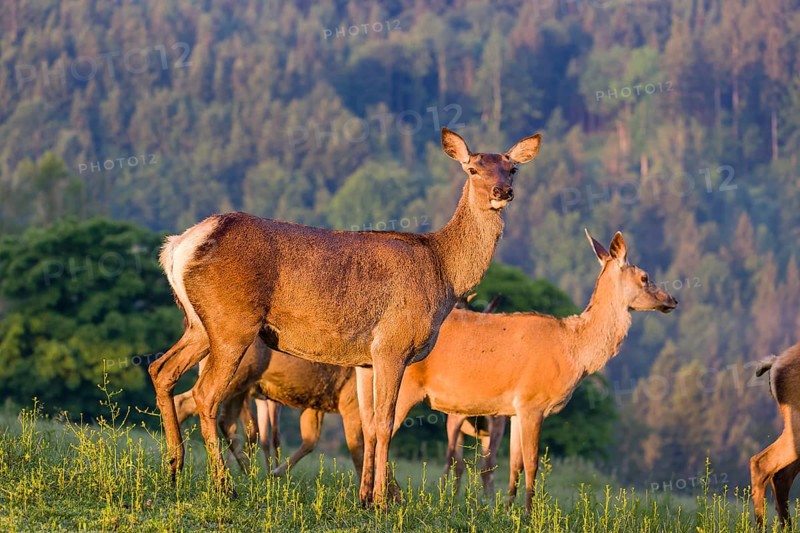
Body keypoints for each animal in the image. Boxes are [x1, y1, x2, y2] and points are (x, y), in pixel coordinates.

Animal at [148, 127, 542, 504]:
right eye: (473, 168)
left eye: (512, 168)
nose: (502, 191)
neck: (442, 273)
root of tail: (179, 245)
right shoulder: (392, 345)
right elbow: (384, 423)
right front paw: (383, 501)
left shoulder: (365, 361)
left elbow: (367, 425)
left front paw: (365, 497)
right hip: (233, 324)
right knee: (204, 394)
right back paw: (223, 485)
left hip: (200, 325)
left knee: (161, 369)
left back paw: (174, 469)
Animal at [389, 230, 677, 512]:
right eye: (644, 276)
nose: (673, 299)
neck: (573, 351)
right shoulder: (532, 402)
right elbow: (532, 463)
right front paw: (529, 513)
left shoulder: (514, 410)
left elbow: (514, 464)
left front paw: (507, 511)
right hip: (406, 390)